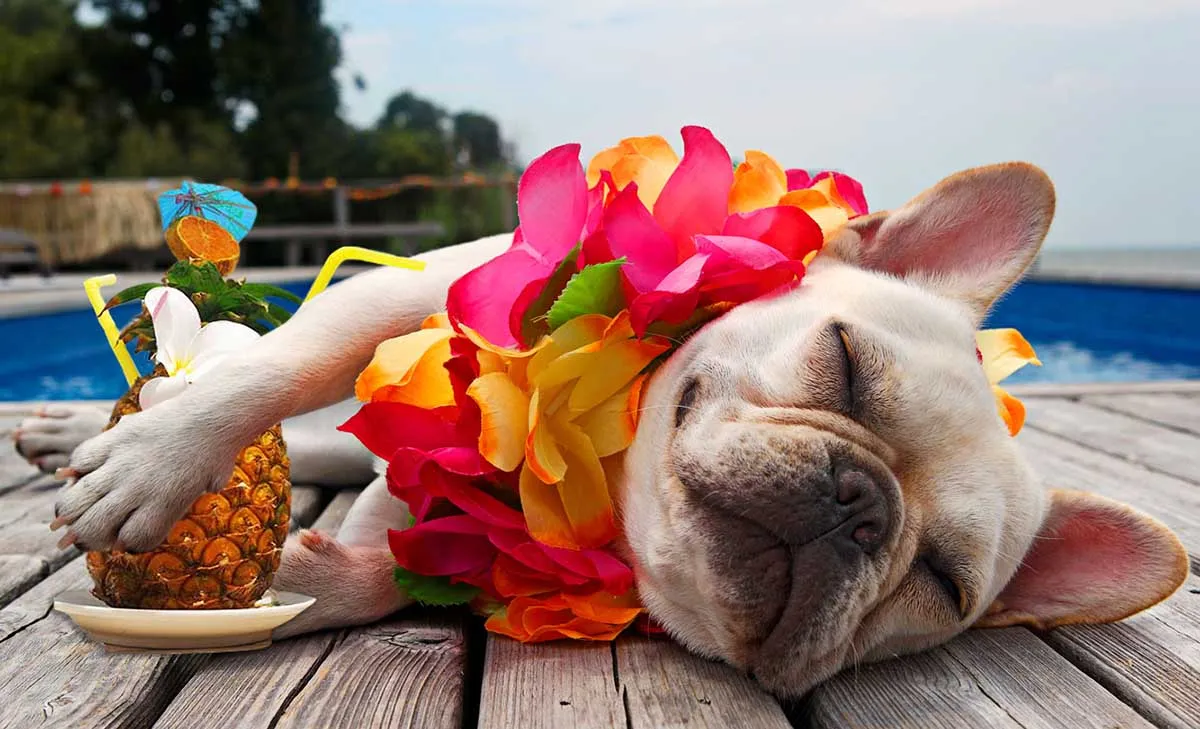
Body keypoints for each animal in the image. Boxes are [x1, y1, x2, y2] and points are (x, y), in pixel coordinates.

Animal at [23, 161, 1185, 695]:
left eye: (941, 584)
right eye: (845, 364)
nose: (859, 503)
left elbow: (388, 578)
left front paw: (296, 581)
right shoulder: (418, 289)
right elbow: (284, 366)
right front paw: (158, 466)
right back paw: (80, 433)